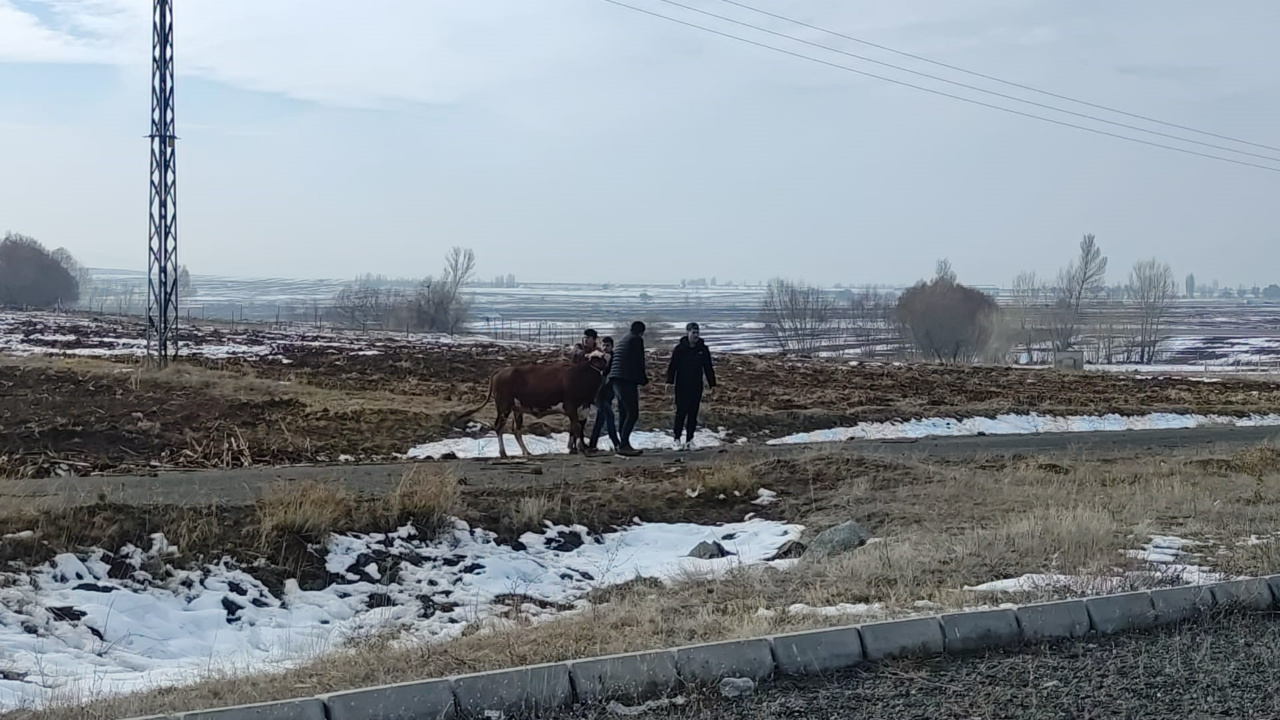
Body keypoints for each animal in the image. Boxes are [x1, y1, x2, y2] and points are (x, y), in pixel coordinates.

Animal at [455, 351, 609, 456]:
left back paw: (526, 452)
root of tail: (503, 370)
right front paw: (580, 449)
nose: (602, 366)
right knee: (499, 427)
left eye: (601, 358)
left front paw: (575, 448)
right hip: (504, 407)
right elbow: (576, 427)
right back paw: (503, 453)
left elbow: (577, 428)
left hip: (517, 409)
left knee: (516, 430)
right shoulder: (571, 406)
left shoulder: (583, 409)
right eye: (593, 359)